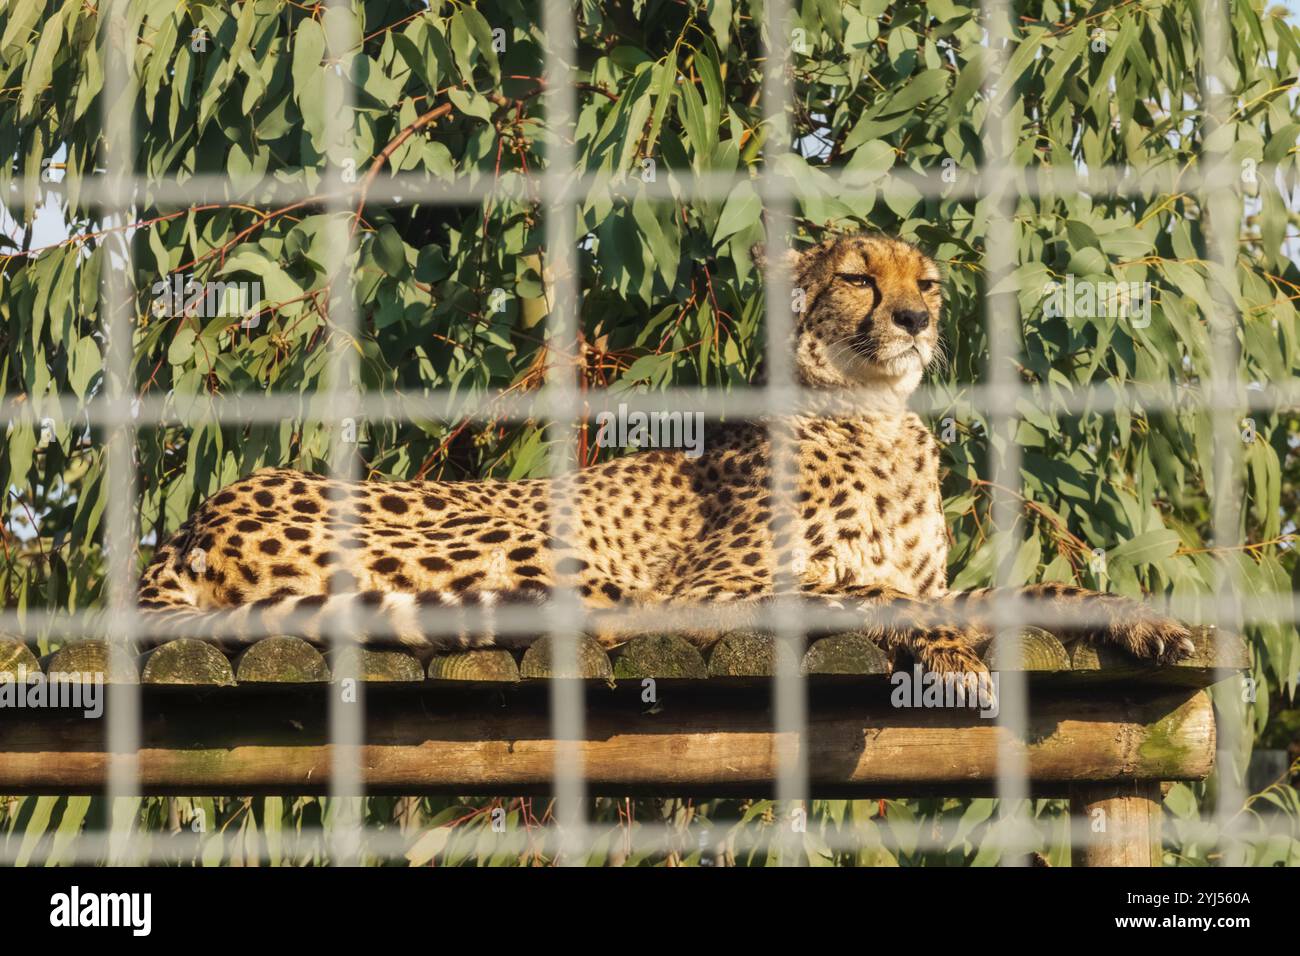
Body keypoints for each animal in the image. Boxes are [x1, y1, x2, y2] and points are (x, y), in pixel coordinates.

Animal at [137, 232, 1195, 679]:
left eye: (926, 281)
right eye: (859, 277)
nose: (917, 319)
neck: (876, 415)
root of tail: (199, 514)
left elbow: (1024, 589)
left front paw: (1145, 619)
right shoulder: (713, 588)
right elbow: (873, 593)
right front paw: (942, 649)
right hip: (548, 562)